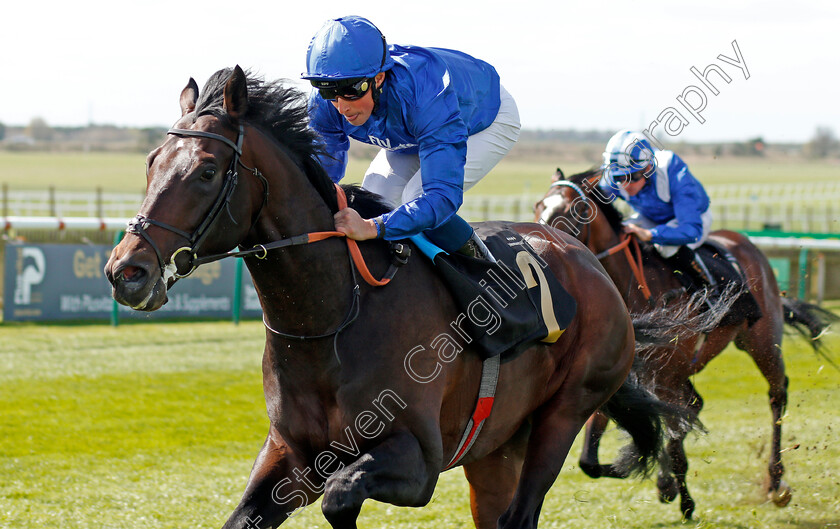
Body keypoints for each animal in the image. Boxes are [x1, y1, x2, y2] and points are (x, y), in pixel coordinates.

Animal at [103, 67, 688, 528]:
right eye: (152, 161)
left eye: (206, 170)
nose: (126, 271)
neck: (334, 317)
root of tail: (590, 262)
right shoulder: (288, 454)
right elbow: (251, 515)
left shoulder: (419, 460)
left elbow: (339, 497)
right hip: (496, 450)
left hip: (564, 415)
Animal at [536, 168, 836, 516]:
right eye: (539, 205)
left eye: (573, 211)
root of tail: (744, 242)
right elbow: (591, 460)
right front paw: (664, 480)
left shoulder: (665, 375)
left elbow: (668, 434)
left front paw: (681, 495)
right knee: (693, 404)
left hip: (761, 341)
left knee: (777, 394)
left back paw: (776, 482)